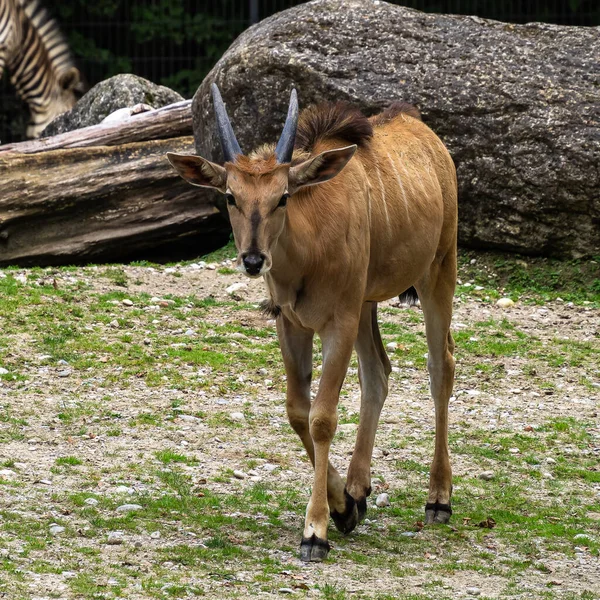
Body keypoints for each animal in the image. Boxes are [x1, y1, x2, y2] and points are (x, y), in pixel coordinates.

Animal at [166, 85, 458, 564]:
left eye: (283, 196)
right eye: (231, 196)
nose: (253, 259)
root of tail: (421, 129)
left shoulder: (338, 322)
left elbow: (322, 418)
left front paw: (316, 530)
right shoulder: (293, 325)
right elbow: (298, 412)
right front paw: (343, 507)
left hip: (437, 272)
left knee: (440, 368)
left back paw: (439, 497)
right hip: (368, 304)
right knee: (378, 373)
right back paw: (359, 487)